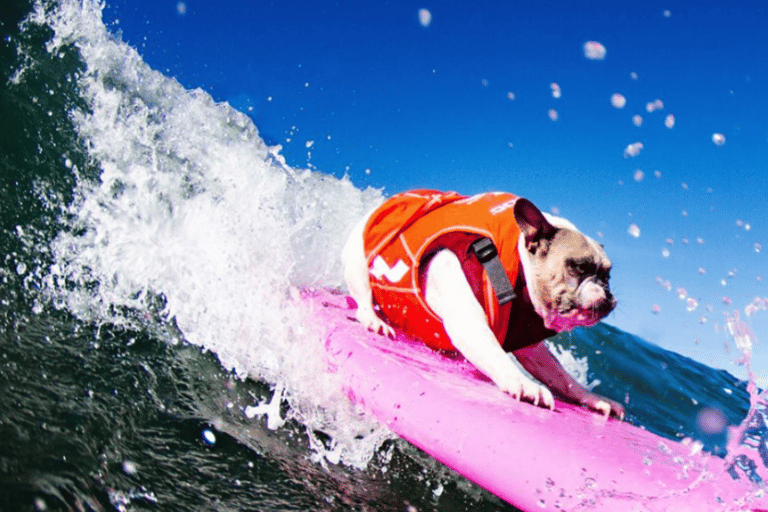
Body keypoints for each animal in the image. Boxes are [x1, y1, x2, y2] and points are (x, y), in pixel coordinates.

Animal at [342, 192, 624, 420]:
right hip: (358, 257)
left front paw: (593, 399)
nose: (607, 292)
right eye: (579, 267)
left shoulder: (532, 349)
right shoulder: (469, 323)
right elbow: (494, 352)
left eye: (609, 274)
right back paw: (374, 319)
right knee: (363, 294)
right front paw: (523, 382)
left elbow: (561, 376)